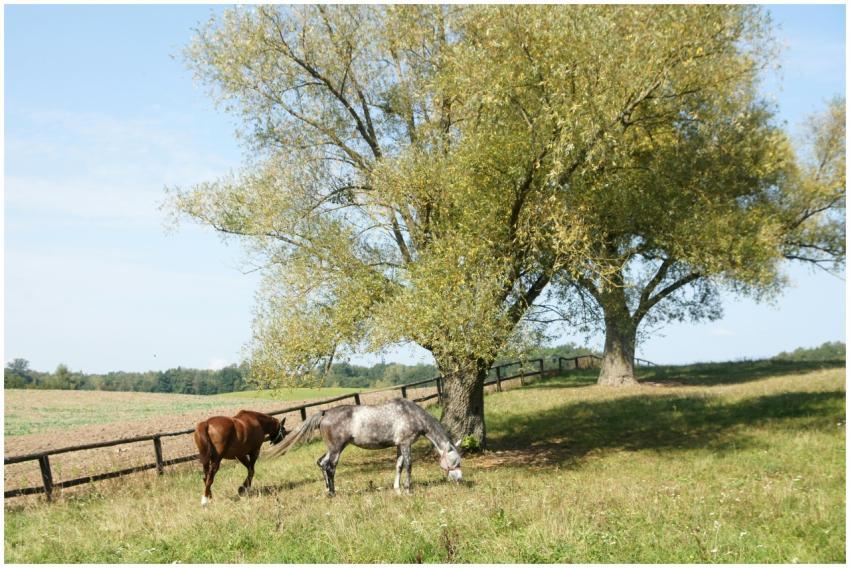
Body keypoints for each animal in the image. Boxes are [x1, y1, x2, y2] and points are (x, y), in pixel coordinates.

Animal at [268, 398, 462, 495]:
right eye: (456, 461)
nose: (460, 479)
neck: (412, 414)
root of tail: (325, 413)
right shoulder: (406, 444)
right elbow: (408, 466)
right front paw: (408, 490)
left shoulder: (399, 445)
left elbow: (398, 466)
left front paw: (397, 488)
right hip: (336, 449)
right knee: (329, 467)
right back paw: (332, 493)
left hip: (333, 448)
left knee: (321, 463)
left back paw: (328, 489)